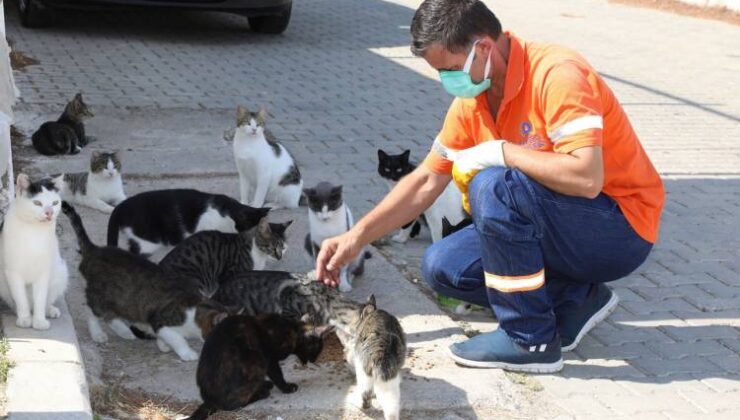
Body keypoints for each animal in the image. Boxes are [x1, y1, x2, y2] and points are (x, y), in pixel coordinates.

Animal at [0, 175, 68, 332]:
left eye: (55, 203)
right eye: (37, 203)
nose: (49, 213)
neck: (34, 232)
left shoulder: (43, 272)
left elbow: (40, 299)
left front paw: (39, 321)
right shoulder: (13, 272)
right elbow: (21, 299)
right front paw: (25, 319)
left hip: (60, 271)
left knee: (46, 300)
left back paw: (50, 310)